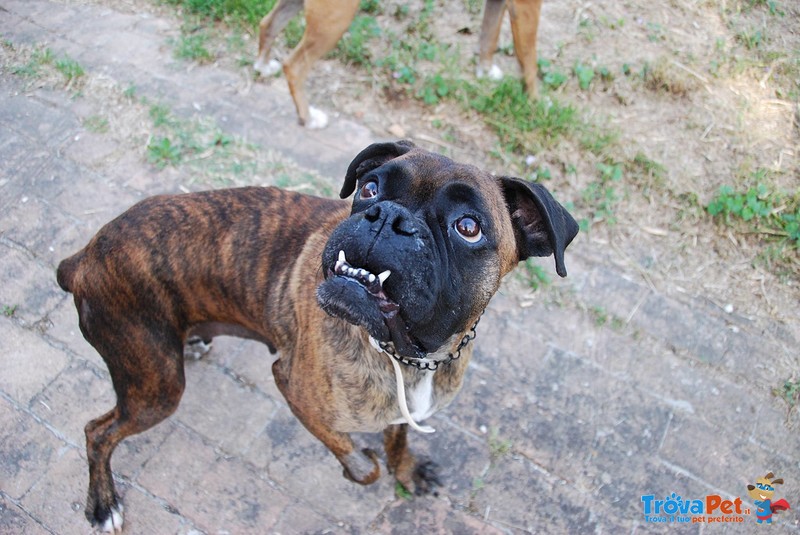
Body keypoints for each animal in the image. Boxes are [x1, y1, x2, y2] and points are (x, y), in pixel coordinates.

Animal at [57, 139, 580, 532]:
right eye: (369, 187)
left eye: (468, 227)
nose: (387, 217)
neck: (409, 355)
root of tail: (82, 259)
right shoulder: (294, 388)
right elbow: (357, 456)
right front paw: (363, 466)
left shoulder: (403, 408)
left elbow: (398, 441)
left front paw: (407, 470)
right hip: (155, 386)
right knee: (98, 432)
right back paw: (102, 505)